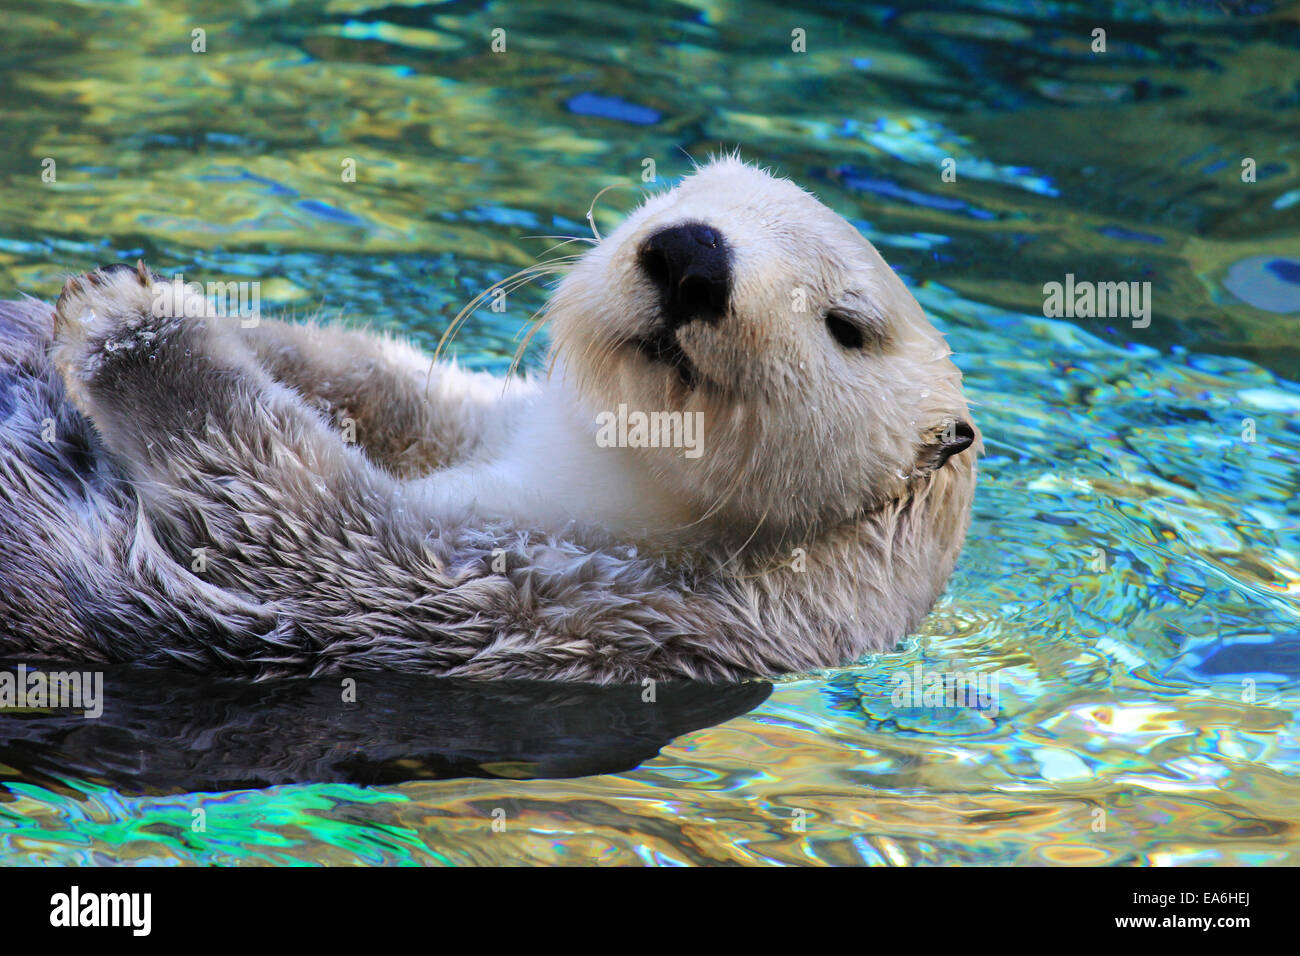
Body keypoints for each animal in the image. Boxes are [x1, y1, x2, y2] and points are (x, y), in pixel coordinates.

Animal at [0, 158, 977, 681]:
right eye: (686, 192)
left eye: (848, 324)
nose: (693, 253)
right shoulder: (473, 419)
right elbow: (373, 375)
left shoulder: (563, 603)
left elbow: (283, 512)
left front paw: (133, 321)